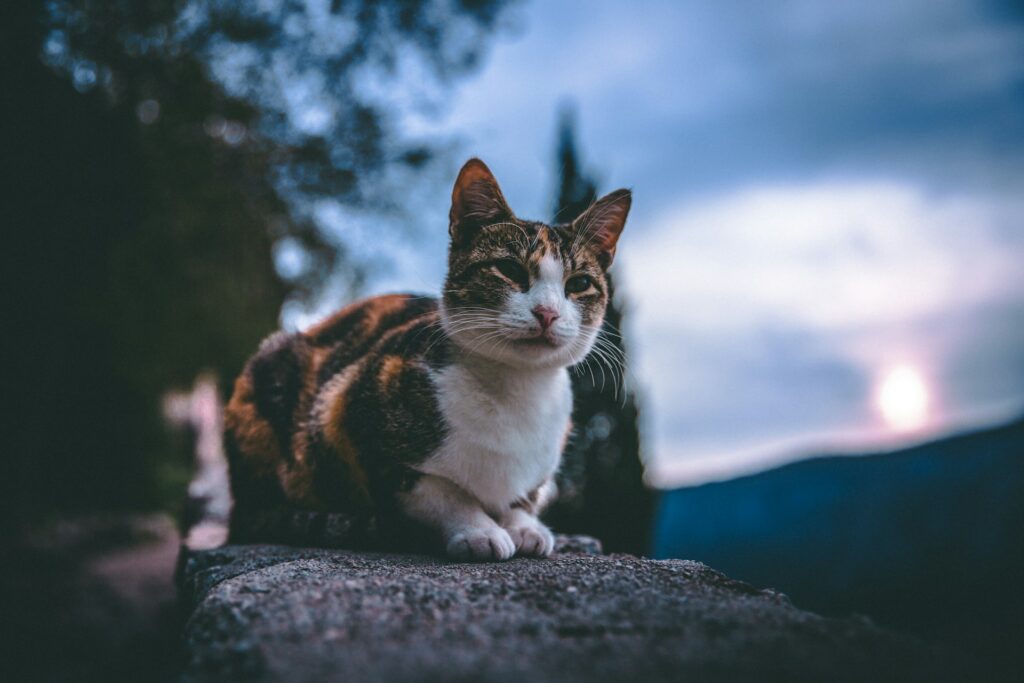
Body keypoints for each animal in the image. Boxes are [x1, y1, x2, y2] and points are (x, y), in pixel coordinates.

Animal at [224, 160, 630, 561]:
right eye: (510, 270)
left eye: (579, 284)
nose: (547, 313)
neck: (517, 388)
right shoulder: (345, 417)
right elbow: (439, 491)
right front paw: (480, 530)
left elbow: (523, 497)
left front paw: (525, 526)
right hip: (272, 371)